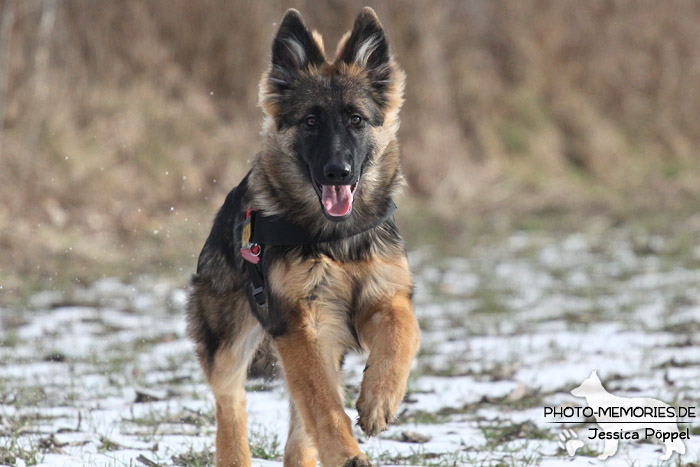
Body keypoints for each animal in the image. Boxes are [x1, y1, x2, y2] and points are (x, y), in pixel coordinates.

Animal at [183, 8, 418, 467]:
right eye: (311, 122)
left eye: (356, 120)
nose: (337, 172)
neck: (336, 240)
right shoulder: (300, 321)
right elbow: (323, 401)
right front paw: (346, 454)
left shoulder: (385, 296)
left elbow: (404, 333)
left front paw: (379, 400)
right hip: (231, 339)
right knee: (231, 398)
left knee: (297, 425)